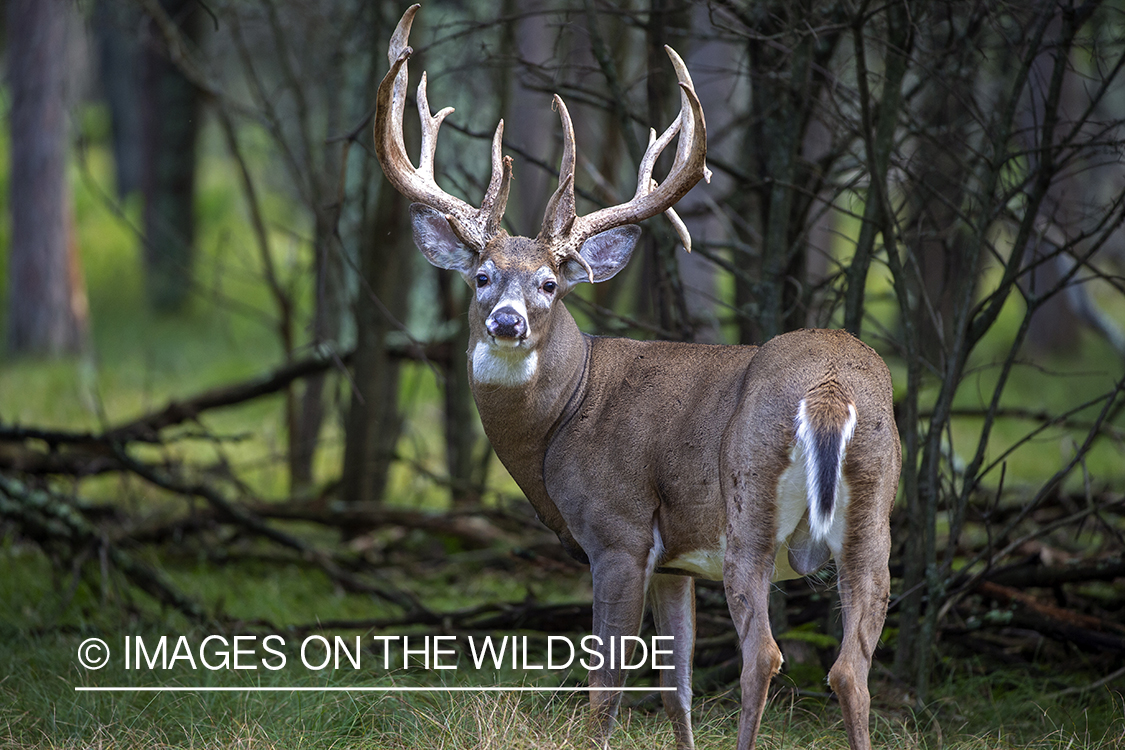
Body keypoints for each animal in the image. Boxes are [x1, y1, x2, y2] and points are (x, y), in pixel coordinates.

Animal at [373, 7, 900, 750]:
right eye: (481, 277)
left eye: (550, 284)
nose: (506, 321)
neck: (563, 419)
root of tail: (830, 391)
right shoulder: (675, 560)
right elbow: (676, 690)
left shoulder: (618, 530)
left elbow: (607, 687)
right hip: (874, 513)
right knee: (851, 666)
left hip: (748, 505)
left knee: (764, 656)